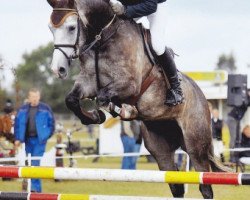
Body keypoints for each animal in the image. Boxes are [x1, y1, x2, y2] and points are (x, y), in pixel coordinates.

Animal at [47, 0, 229, 198]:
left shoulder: (129, 84)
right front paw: (94, 116)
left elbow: (103, 97)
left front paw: (121, 110)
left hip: (195, 144)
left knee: (205, 185)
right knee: (176, 185)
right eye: (50, 28)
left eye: (72, 27)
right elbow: (71, 99)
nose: (58, 69)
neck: (103, 37)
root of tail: (203, 98)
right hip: (160, 148)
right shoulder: (88, 82)